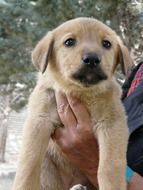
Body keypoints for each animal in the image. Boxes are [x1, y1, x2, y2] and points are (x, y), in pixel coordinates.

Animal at [12, 17, 132, 190]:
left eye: (107, 44)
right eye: (69, 42)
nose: (92, 59)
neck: (80, 92)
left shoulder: (112, 124)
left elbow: (109, 166)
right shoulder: (39, 120)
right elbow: (29, 165)